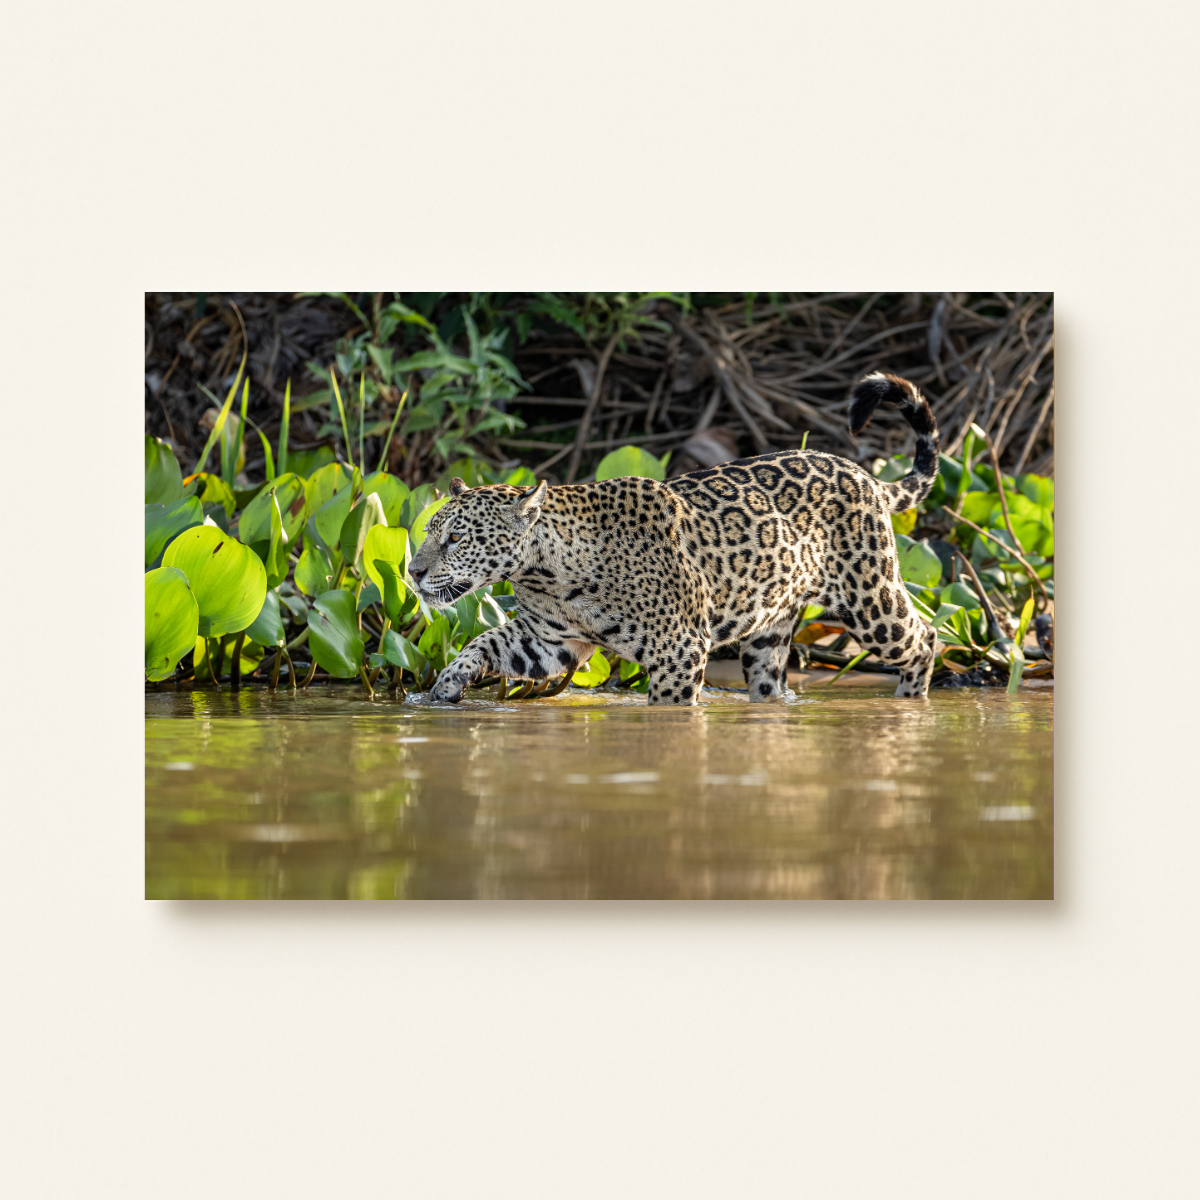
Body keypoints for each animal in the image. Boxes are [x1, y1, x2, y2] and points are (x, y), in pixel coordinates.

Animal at [408, 371, 941, 705]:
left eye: (455, 539)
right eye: (429, 532)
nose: (411, 572)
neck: (549, 574)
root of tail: (864, 474)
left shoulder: (679, 650)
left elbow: (669, 708)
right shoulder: (547, 641)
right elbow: (481, 643)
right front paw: (444, 689)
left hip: (870, 601)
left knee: (925, 637)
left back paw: (910, 702)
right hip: (769, 630)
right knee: (770, 680)